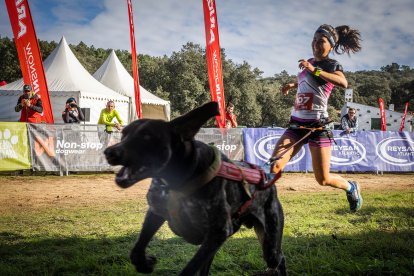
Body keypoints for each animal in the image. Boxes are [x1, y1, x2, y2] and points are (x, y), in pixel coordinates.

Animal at [104, 102, 284, 274]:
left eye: (147, 136)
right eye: (124, 134)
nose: (109, 152)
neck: (177, 180)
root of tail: (268, 179)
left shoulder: (218, 232)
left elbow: (189, 269)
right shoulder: (156, 212)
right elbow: (136, 250)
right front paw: (145, 263)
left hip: (269, 244)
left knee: (280, 259)